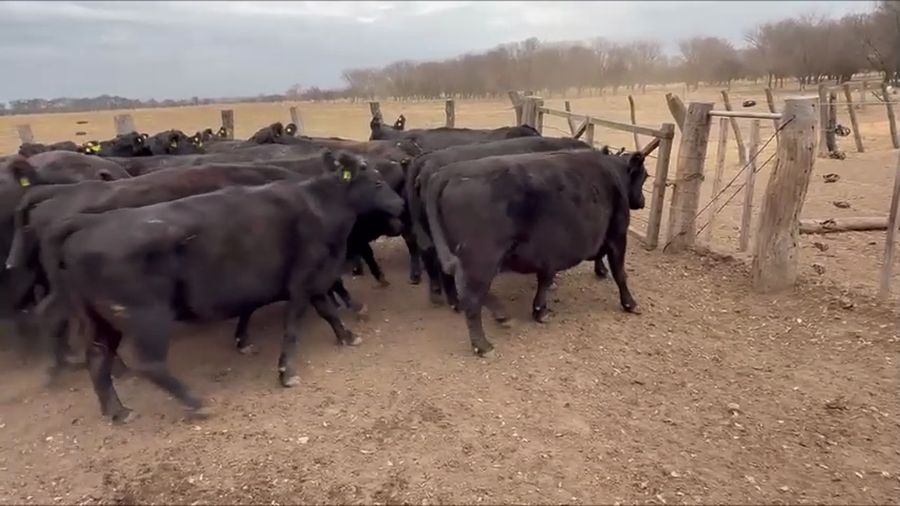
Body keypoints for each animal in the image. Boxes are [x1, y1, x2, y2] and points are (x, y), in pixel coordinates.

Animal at [38, 150, 403, 423]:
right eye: (377, 181)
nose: (399, 204)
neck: (318, 204)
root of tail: (87, 222)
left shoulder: (298, 282)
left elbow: (318, 310)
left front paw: (346, 336)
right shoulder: (303, 280)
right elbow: (294, 326)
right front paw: (286, 372)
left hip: (101, 320)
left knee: (98, 359)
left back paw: (117, 412)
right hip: (146, 317)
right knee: (149, 364)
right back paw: (195, 402)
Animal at [423, 149, 649, 356]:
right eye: (644, 176)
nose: (643, 201)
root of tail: (448, 172)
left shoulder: (549, 253)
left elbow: (545, 280)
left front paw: (539, 310)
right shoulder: (618, 235)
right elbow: (620, 273)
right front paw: (630, 303)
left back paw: (501, 315)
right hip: (481, 259)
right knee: (470, 295)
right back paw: (483, 345)